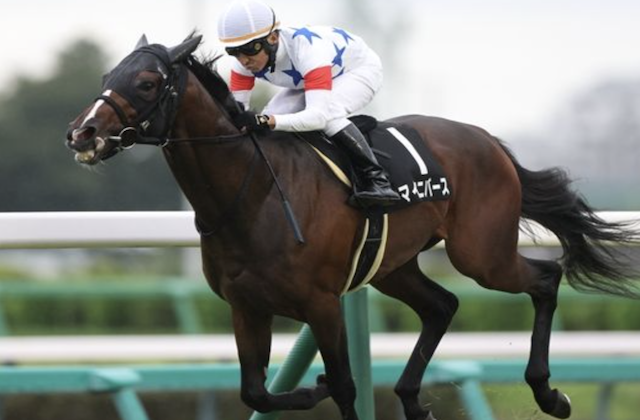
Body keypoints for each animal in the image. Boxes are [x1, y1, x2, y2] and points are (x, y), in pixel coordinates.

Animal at [66, 34, 639, 420]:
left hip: (481, 253)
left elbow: (344, 386)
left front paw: (326, 384)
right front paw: (311, 388)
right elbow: (255, 391)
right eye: (106, 79)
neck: (253, 194)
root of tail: (488, 140)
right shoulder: (246, 306)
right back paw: (412, 400)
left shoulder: (322, 303)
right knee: (442, 305)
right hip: (394, 264)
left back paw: (548, 393)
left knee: (544, 280)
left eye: (146, 82)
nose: (82, 133)